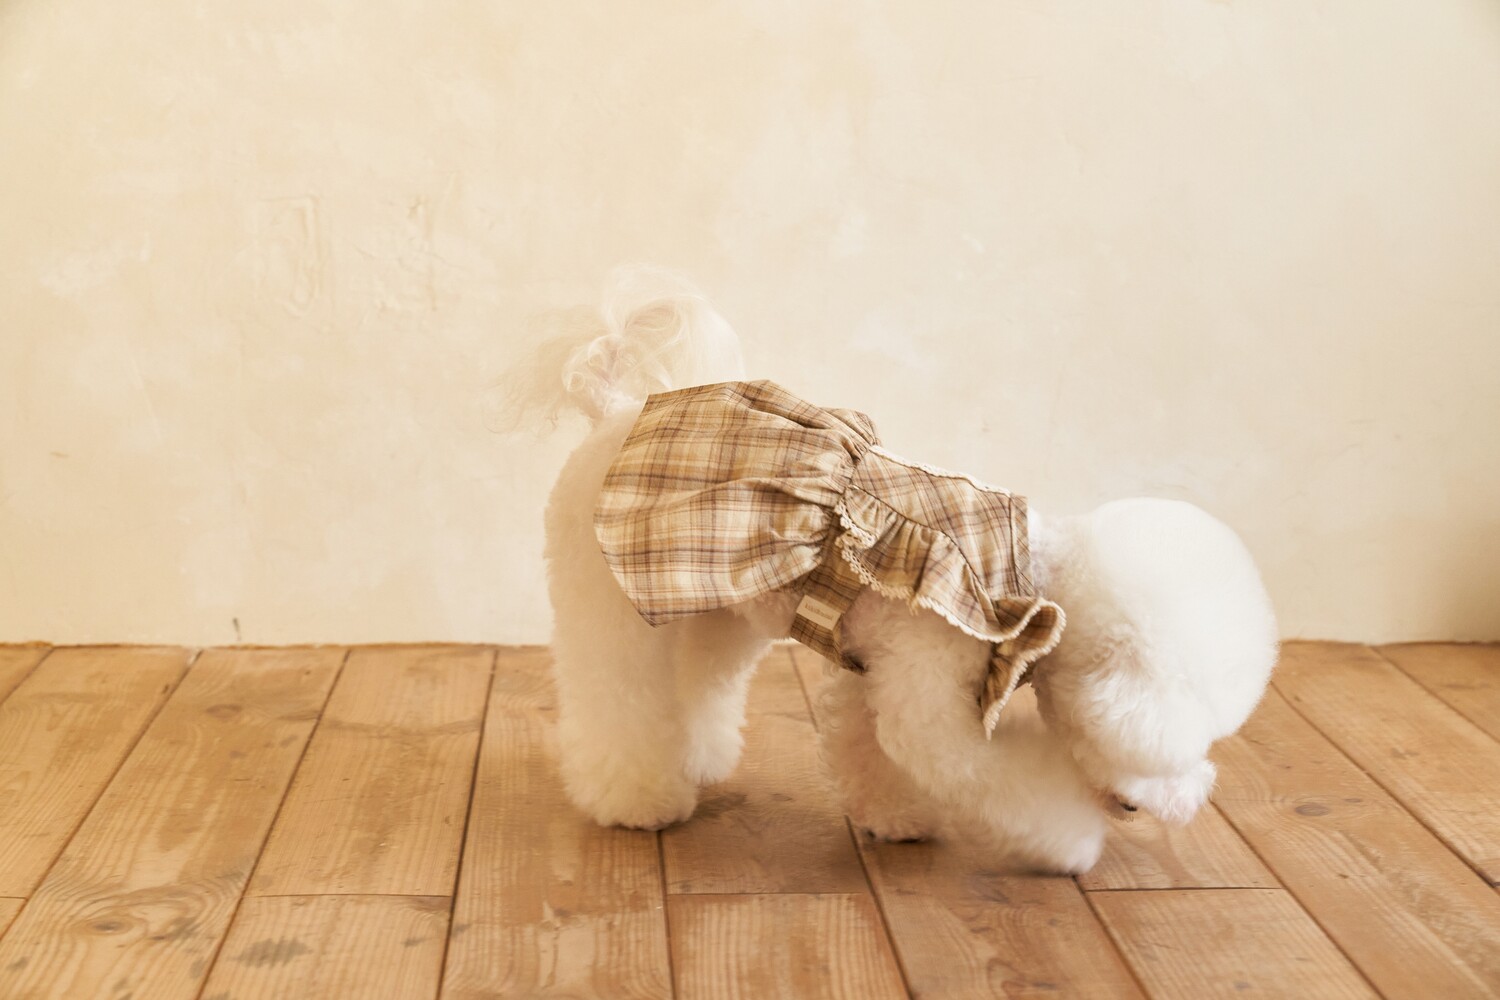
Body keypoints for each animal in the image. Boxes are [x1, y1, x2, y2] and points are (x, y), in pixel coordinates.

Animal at [537, 271, 1277, 874]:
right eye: (1173, 750)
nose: (1185, 801)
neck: (1029, 579)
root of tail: (615, 409)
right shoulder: (933, 683)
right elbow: (974, 769)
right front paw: (1073, 843)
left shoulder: (877, 671)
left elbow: (870, 749)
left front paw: (896, 818)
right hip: (610, 602)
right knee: (616, 696)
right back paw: (636, 798)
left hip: (713, 606)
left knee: (699, 683)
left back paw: (698, 758)